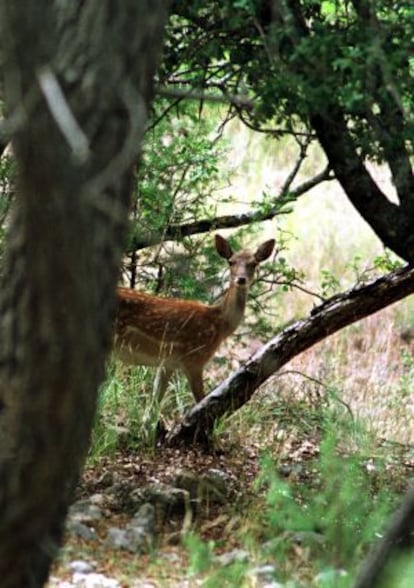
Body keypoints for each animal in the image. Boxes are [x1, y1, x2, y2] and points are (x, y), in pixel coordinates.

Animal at [113, 233, 274, 404]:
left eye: (254, 263)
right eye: (231, 262)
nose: (241, 279)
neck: (219, 324)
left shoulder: (168, 363)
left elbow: (153, 406)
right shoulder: (195, 358)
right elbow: (201, 401)